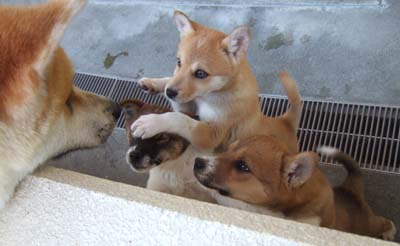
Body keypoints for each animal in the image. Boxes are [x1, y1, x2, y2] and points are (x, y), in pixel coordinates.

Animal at [195, 135, 396, 240]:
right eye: (228, 149)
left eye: (242, 166)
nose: (197, 161)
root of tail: (351, 190)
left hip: (368, 224)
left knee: (382, 222)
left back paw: (389, 231)